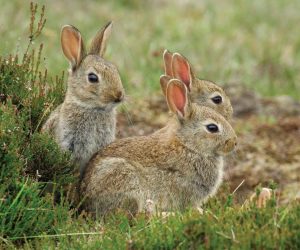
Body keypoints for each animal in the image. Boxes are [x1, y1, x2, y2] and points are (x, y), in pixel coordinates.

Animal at [80, 78, 237, 217]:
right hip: (126, 180)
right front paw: (199, 212)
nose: (234, 143)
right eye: (212, 128)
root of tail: (86, 200)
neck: (188, 146)